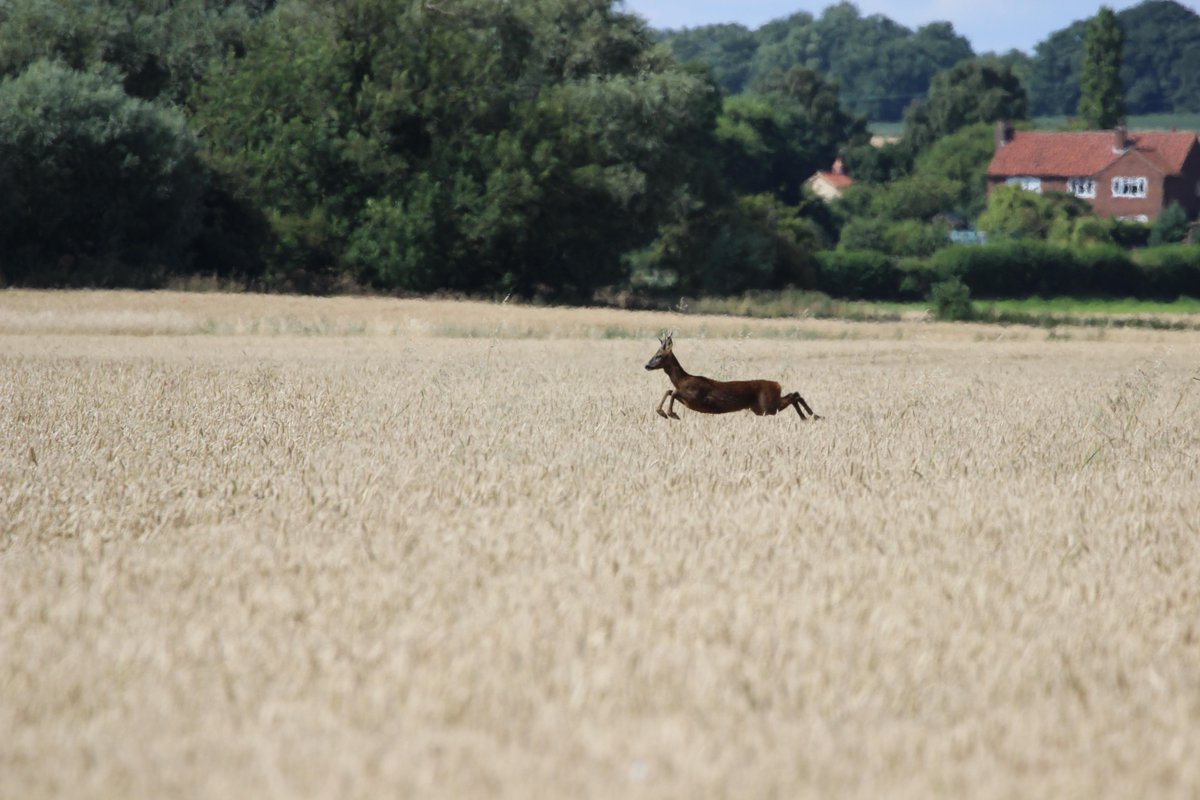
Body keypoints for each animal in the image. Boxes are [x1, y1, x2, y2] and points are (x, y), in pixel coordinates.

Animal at [644, 333, 819, 421]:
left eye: (659, 355)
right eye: (654, 354)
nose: (647, 365)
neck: (682, 380)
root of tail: (777, 384)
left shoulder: (695, 396)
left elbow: (672, 392)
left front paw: (670, 414)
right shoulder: (688, 399)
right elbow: (669, 391)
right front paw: (663, 412)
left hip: (767, 405)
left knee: (794, 395)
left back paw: (813, 416)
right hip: (761, 408)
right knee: (794, 394)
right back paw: (810, 417)